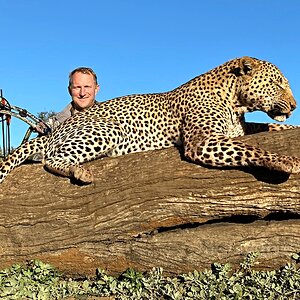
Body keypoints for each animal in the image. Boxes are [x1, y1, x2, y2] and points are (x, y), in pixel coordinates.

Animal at [0, 55, 300, 184]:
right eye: (278, 83)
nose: (295, 106)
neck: (234, 102)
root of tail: (54, 130)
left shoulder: (240, 128)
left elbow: (265, 127)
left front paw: (291, 125)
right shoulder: (202, 141)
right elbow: (249, 148)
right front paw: (285, 160)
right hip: (109, 130)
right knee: (51, 159)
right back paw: (80, 171)